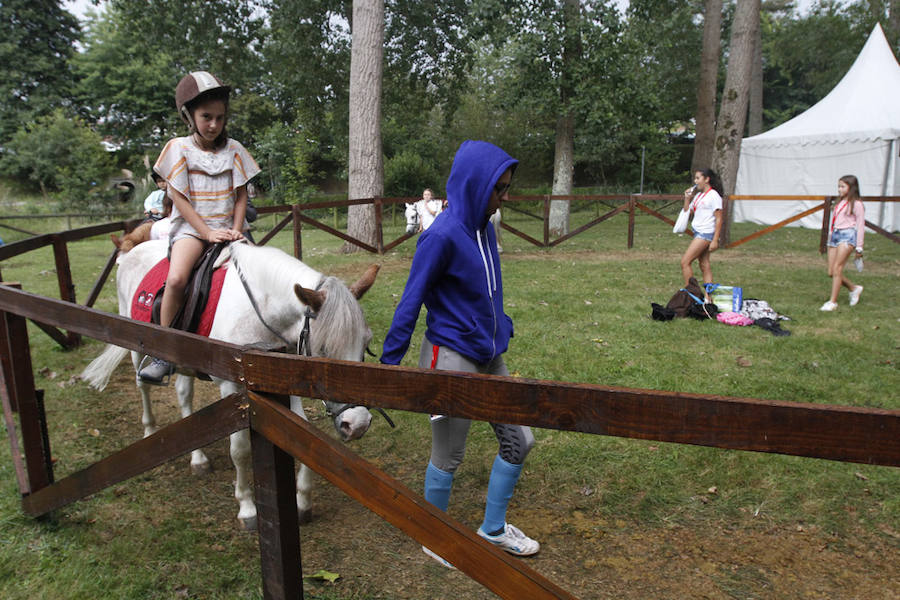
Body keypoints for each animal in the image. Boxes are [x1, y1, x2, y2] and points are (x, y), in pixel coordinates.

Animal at [82, 240, 382, 528]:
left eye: (366, 343)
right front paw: (247, 507)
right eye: (322, 349)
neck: (262, 312)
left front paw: (302, 503)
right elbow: (240, 450)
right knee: (142, 386)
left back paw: (198, 458)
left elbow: (303, 433)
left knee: (183, 394)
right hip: (136, 344)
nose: (357, 424)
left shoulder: (281, 380)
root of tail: (131, 251)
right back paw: (149, 430)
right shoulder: (233, 387)